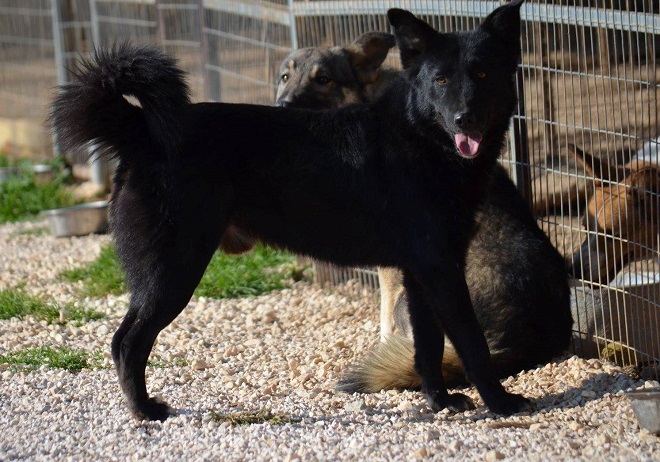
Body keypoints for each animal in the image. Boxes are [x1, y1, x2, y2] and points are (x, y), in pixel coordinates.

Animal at [50, 0, 532, 420]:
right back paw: (145, 411)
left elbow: (428, 347)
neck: (422, 136)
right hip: (173, 270)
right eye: (441, 81)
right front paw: (501, 403)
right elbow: (471, 343)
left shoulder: (418, 274)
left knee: (122, 341)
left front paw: (439, 402)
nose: (465, 119)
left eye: (482, 73)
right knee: (127, 342)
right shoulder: (442, 270)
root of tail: (141, 131)